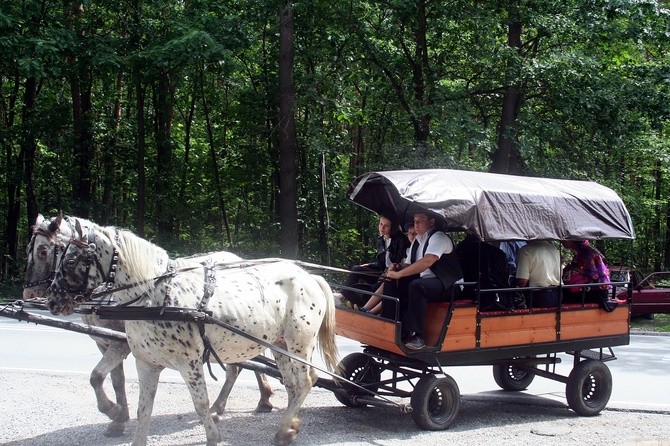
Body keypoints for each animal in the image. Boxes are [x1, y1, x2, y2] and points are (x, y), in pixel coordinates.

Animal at [23, 214, 274, 438]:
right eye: (28, 249)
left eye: (43, 251)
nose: (32, 295)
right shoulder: (106, 342)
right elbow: (112, 380)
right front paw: (118, 417)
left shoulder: (120, 343)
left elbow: (97, 376)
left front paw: (115, 413)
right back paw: (256, 400)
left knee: (239, 366)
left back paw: (232, 405)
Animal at [47, 220, 338, 446]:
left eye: (70, 259)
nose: (52, 299)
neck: (157, 296)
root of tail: (310, 277)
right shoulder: (146, 363)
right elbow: (143, 409)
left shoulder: (190, 364)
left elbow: (200, 404)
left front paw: (212, 436)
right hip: (280, 345)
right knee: (291, 384)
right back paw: (289, 427)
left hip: (299, 342)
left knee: (305, 382)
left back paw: (282, 430)